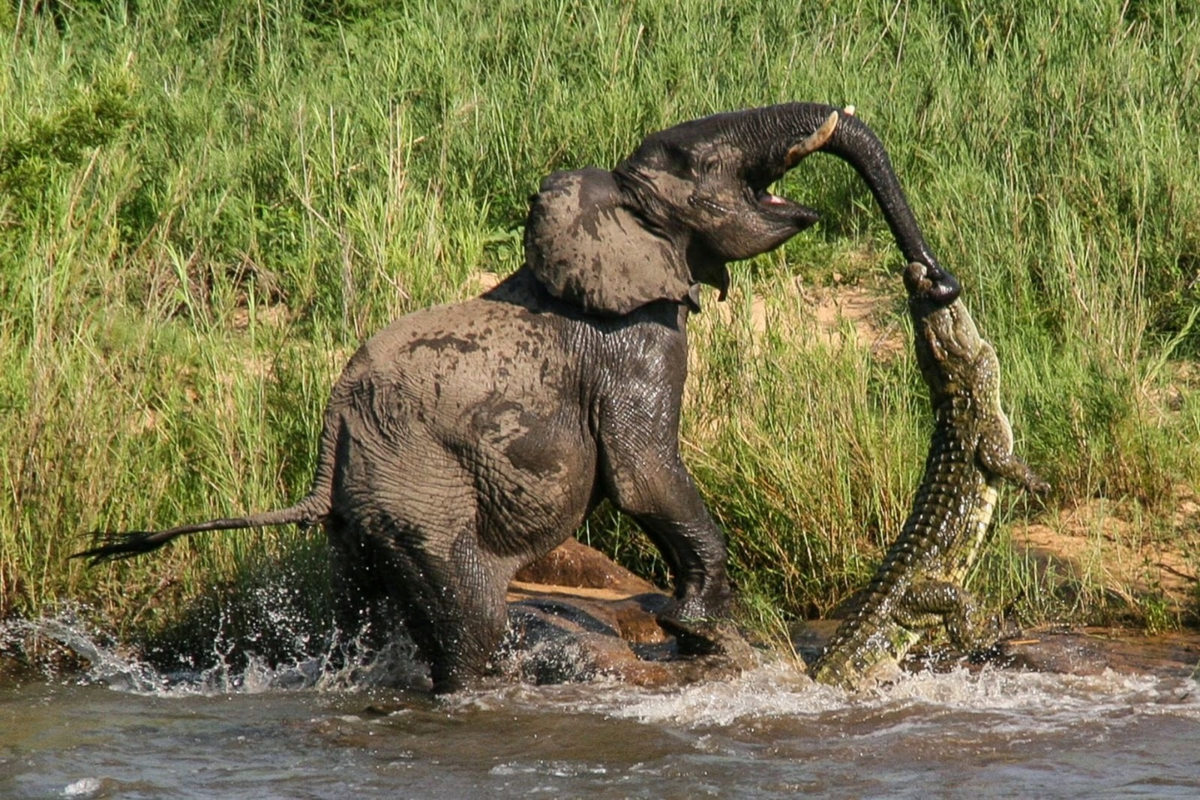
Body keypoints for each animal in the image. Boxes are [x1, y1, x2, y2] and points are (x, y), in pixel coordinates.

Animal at [75, 101, 960, 695]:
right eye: (690, 159)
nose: (936, 280)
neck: (609, 210)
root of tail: (333, 431)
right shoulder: (635, 342)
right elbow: (644, 475)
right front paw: (700, 630)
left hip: (364, 514)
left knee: (361, 609)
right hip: (418, 488)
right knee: (470, 617)